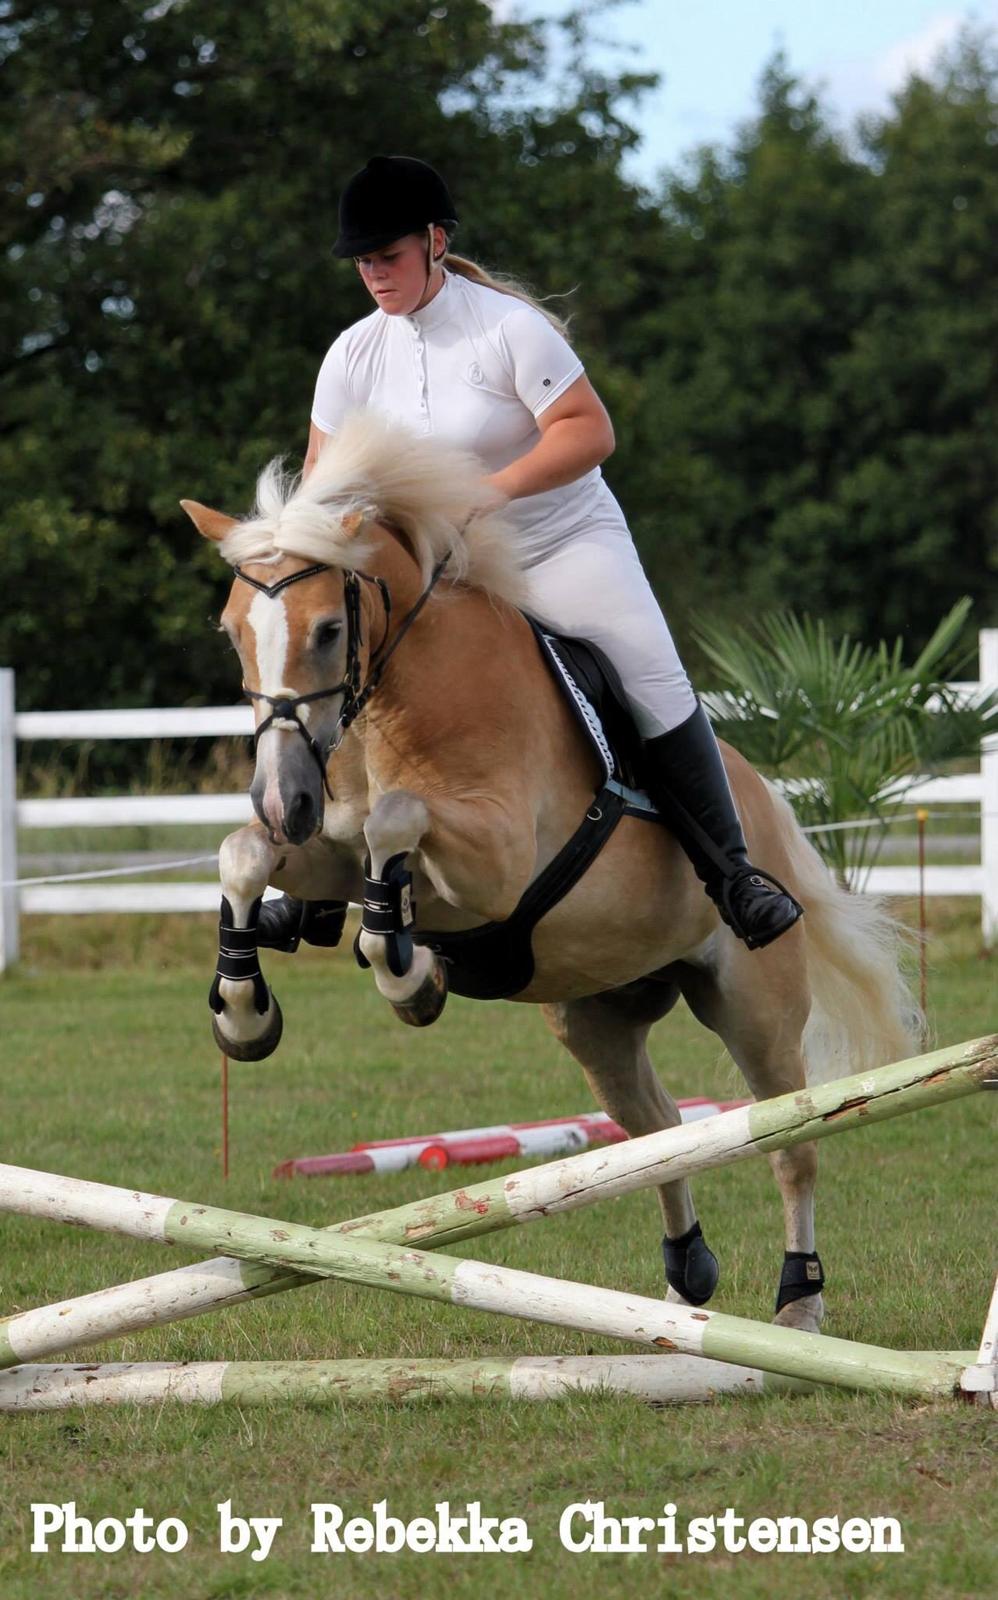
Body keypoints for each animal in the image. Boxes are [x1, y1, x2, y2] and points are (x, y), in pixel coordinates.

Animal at [183, 409, 914, 1324]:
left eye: (328, 631)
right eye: (232, 630)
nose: (284, 797)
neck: (397, 705)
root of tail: (765, 803)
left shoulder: (494, 863)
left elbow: (398, 823)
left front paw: (406, 972)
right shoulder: (328, 848)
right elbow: (246, 854)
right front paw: (245, 1012)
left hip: (756, 1008)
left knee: (791, 1142)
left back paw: (798, 1301)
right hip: (597, 1016)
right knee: (657, 1130)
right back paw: (684, 1280)